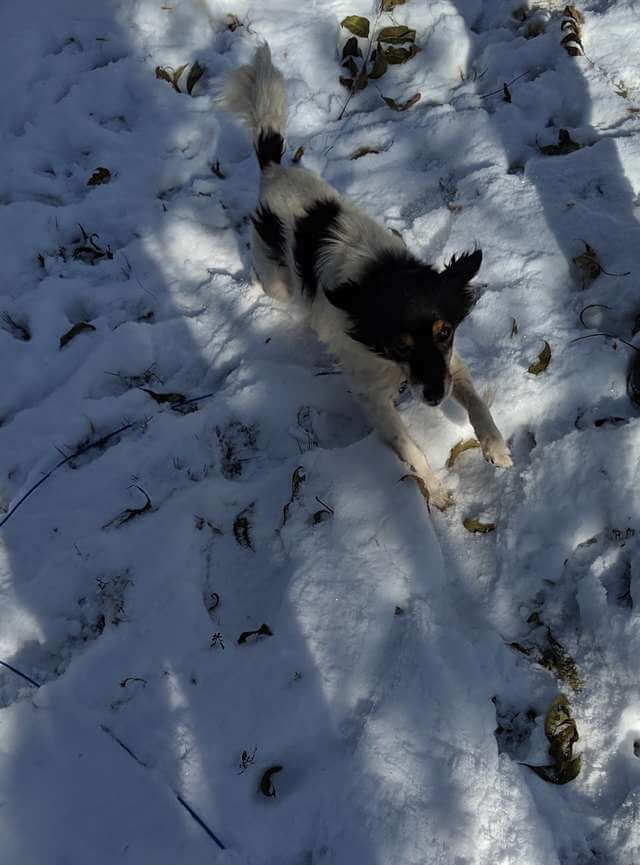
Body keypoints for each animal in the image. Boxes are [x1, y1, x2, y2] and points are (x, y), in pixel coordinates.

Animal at [222, 44, 512, 510]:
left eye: (445, 332)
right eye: (400, 344)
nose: (434, 398)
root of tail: (273, 167)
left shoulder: (449, 363)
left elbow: (475, 401)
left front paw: (495, 446)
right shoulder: (372, 394)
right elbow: (410, 447)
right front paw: (435, 492)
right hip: (276, 280)